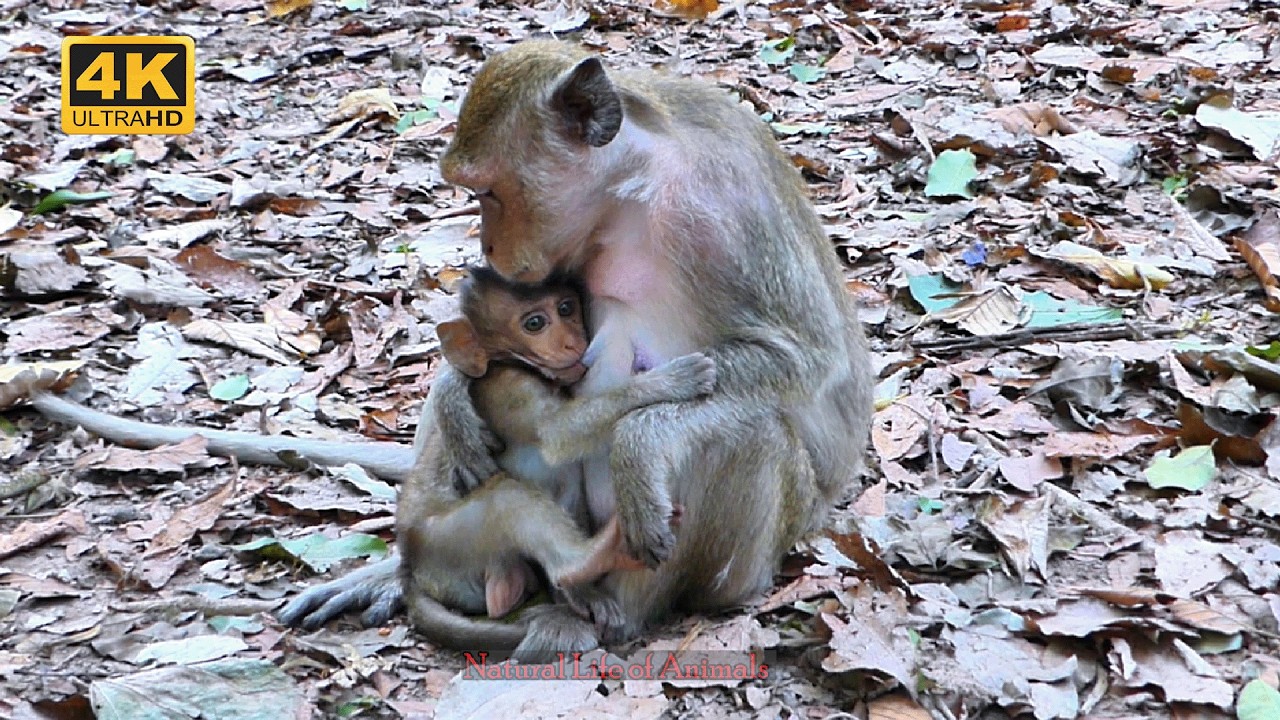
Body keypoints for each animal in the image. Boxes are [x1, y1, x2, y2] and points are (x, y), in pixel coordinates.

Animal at [278, 265, 716, 659]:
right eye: (535, 323)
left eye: (567, 307)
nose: (573, 341)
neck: (512, 362)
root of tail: (413, 569)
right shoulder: (509, 388)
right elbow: (557, 434)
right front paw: (670, 380)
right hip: (448, 543)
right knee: (508, 500)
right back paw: (591, 557)